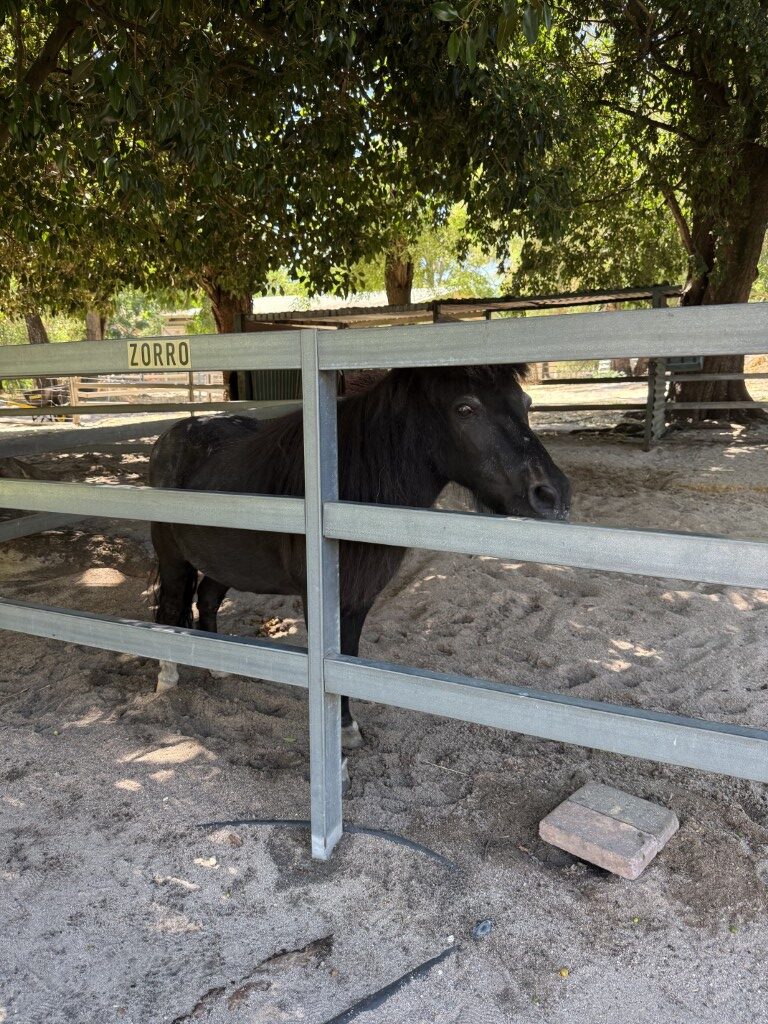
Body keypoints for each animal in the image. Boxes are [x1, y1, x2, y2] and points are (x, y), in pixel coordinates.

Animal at [148, 363, 571, 749]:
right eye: (466, 408)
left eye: (527, 403)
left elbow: (347, 657)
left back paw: (217, 667)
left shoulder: (359, 596)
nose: (553, 496)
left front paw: (347, 727)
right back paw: (167, 677)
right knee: (171, 606)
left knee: (206, 599)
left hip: (224, 562)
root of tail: (174, 434)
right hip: (173, 557)